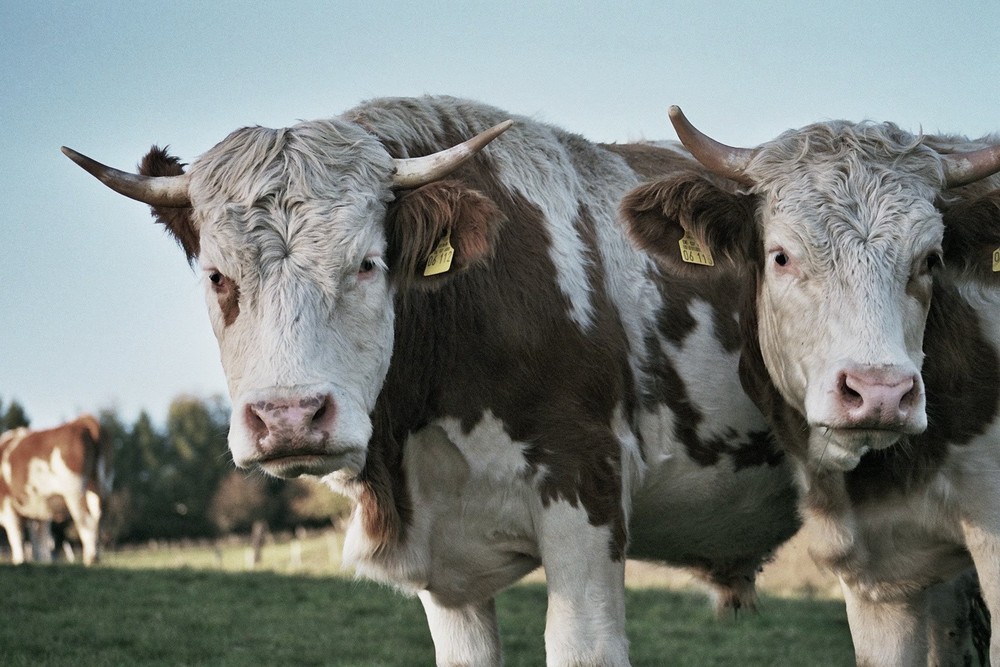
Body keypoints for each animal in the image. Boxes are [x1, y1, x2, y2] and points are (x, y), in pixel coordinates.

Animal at [0, 414, 110, 568]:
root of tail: (81, 421)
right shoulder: (39, 510)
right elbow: (40, 538)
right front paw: (42, 561)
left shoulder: (6, 502)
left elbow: (16, 534)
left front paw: (19, 561)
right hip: (99, 486)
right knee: (100, 519)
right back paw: (96, 557)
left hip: (75, 492)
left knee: (86, 521)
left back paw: (90, 558)